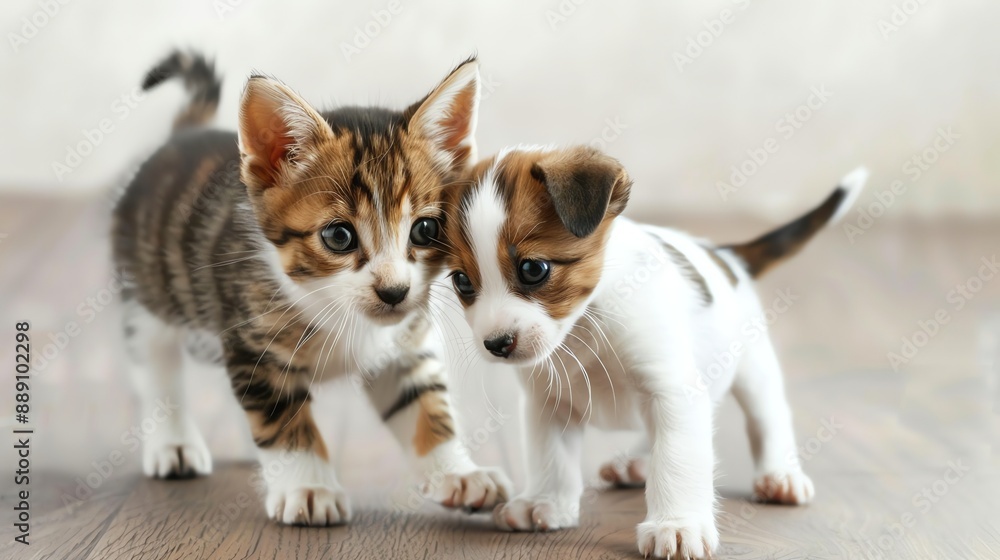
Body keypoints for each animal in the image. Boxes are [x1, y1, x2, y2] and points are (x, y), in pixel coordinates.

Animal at [111, 51, 508, 524]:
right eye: (339, 236)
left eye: (425, 230)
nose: (394, 292)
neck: (336, 308)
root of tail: (184, 134)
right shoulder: (255, 342)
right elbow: (283, 420)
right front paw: (308, 487)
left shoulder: (404, 348)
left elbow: (426, 407)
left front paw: (458, 473)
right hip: (147, 297)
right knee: (154, 367)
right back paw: (173, 442)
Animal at [442, 145, 864, 560]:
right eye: (462, 281)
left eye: (533, 269)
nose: (496, 344)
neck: (587, 322)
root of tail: (728, 256)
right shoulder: (550, 402)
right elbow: (552, 458)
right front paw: (544, 502)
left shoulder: (673, 391)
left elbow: (677, 458)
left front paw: (676, 526)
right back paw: (637, 463)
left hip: (753, 369)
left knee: (768, 418)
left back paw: (780, 475)